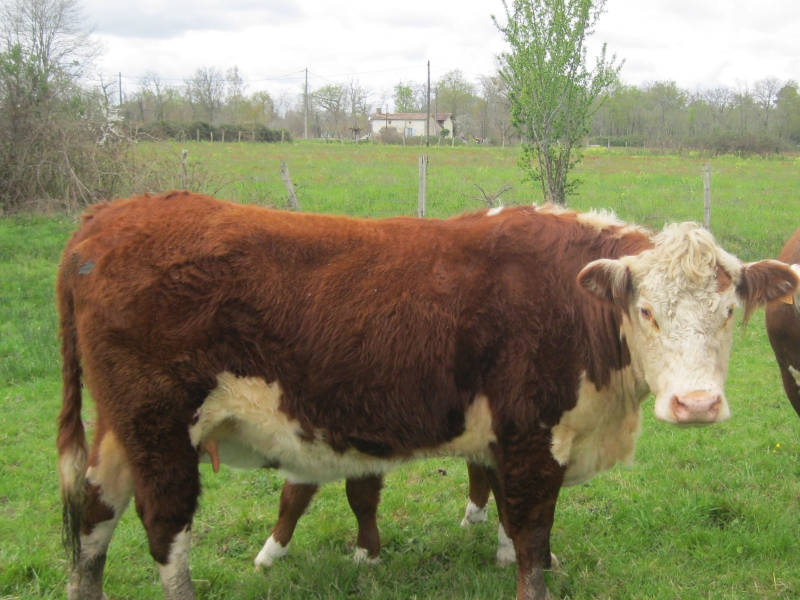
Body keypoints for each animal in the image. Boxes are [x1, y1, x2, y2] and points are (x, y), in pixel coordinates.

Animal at [54, 193, 792, 600]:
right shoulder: (532, 437)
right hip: (159, 426)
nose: (696, 405)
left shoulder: (507, 440)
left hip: (120, 429)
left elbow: (509, 519)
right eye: (647, 312)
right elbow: (531, 537)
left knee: (93, 516)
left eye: (729, 311)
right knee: (164, 531)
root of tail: (105, 216)